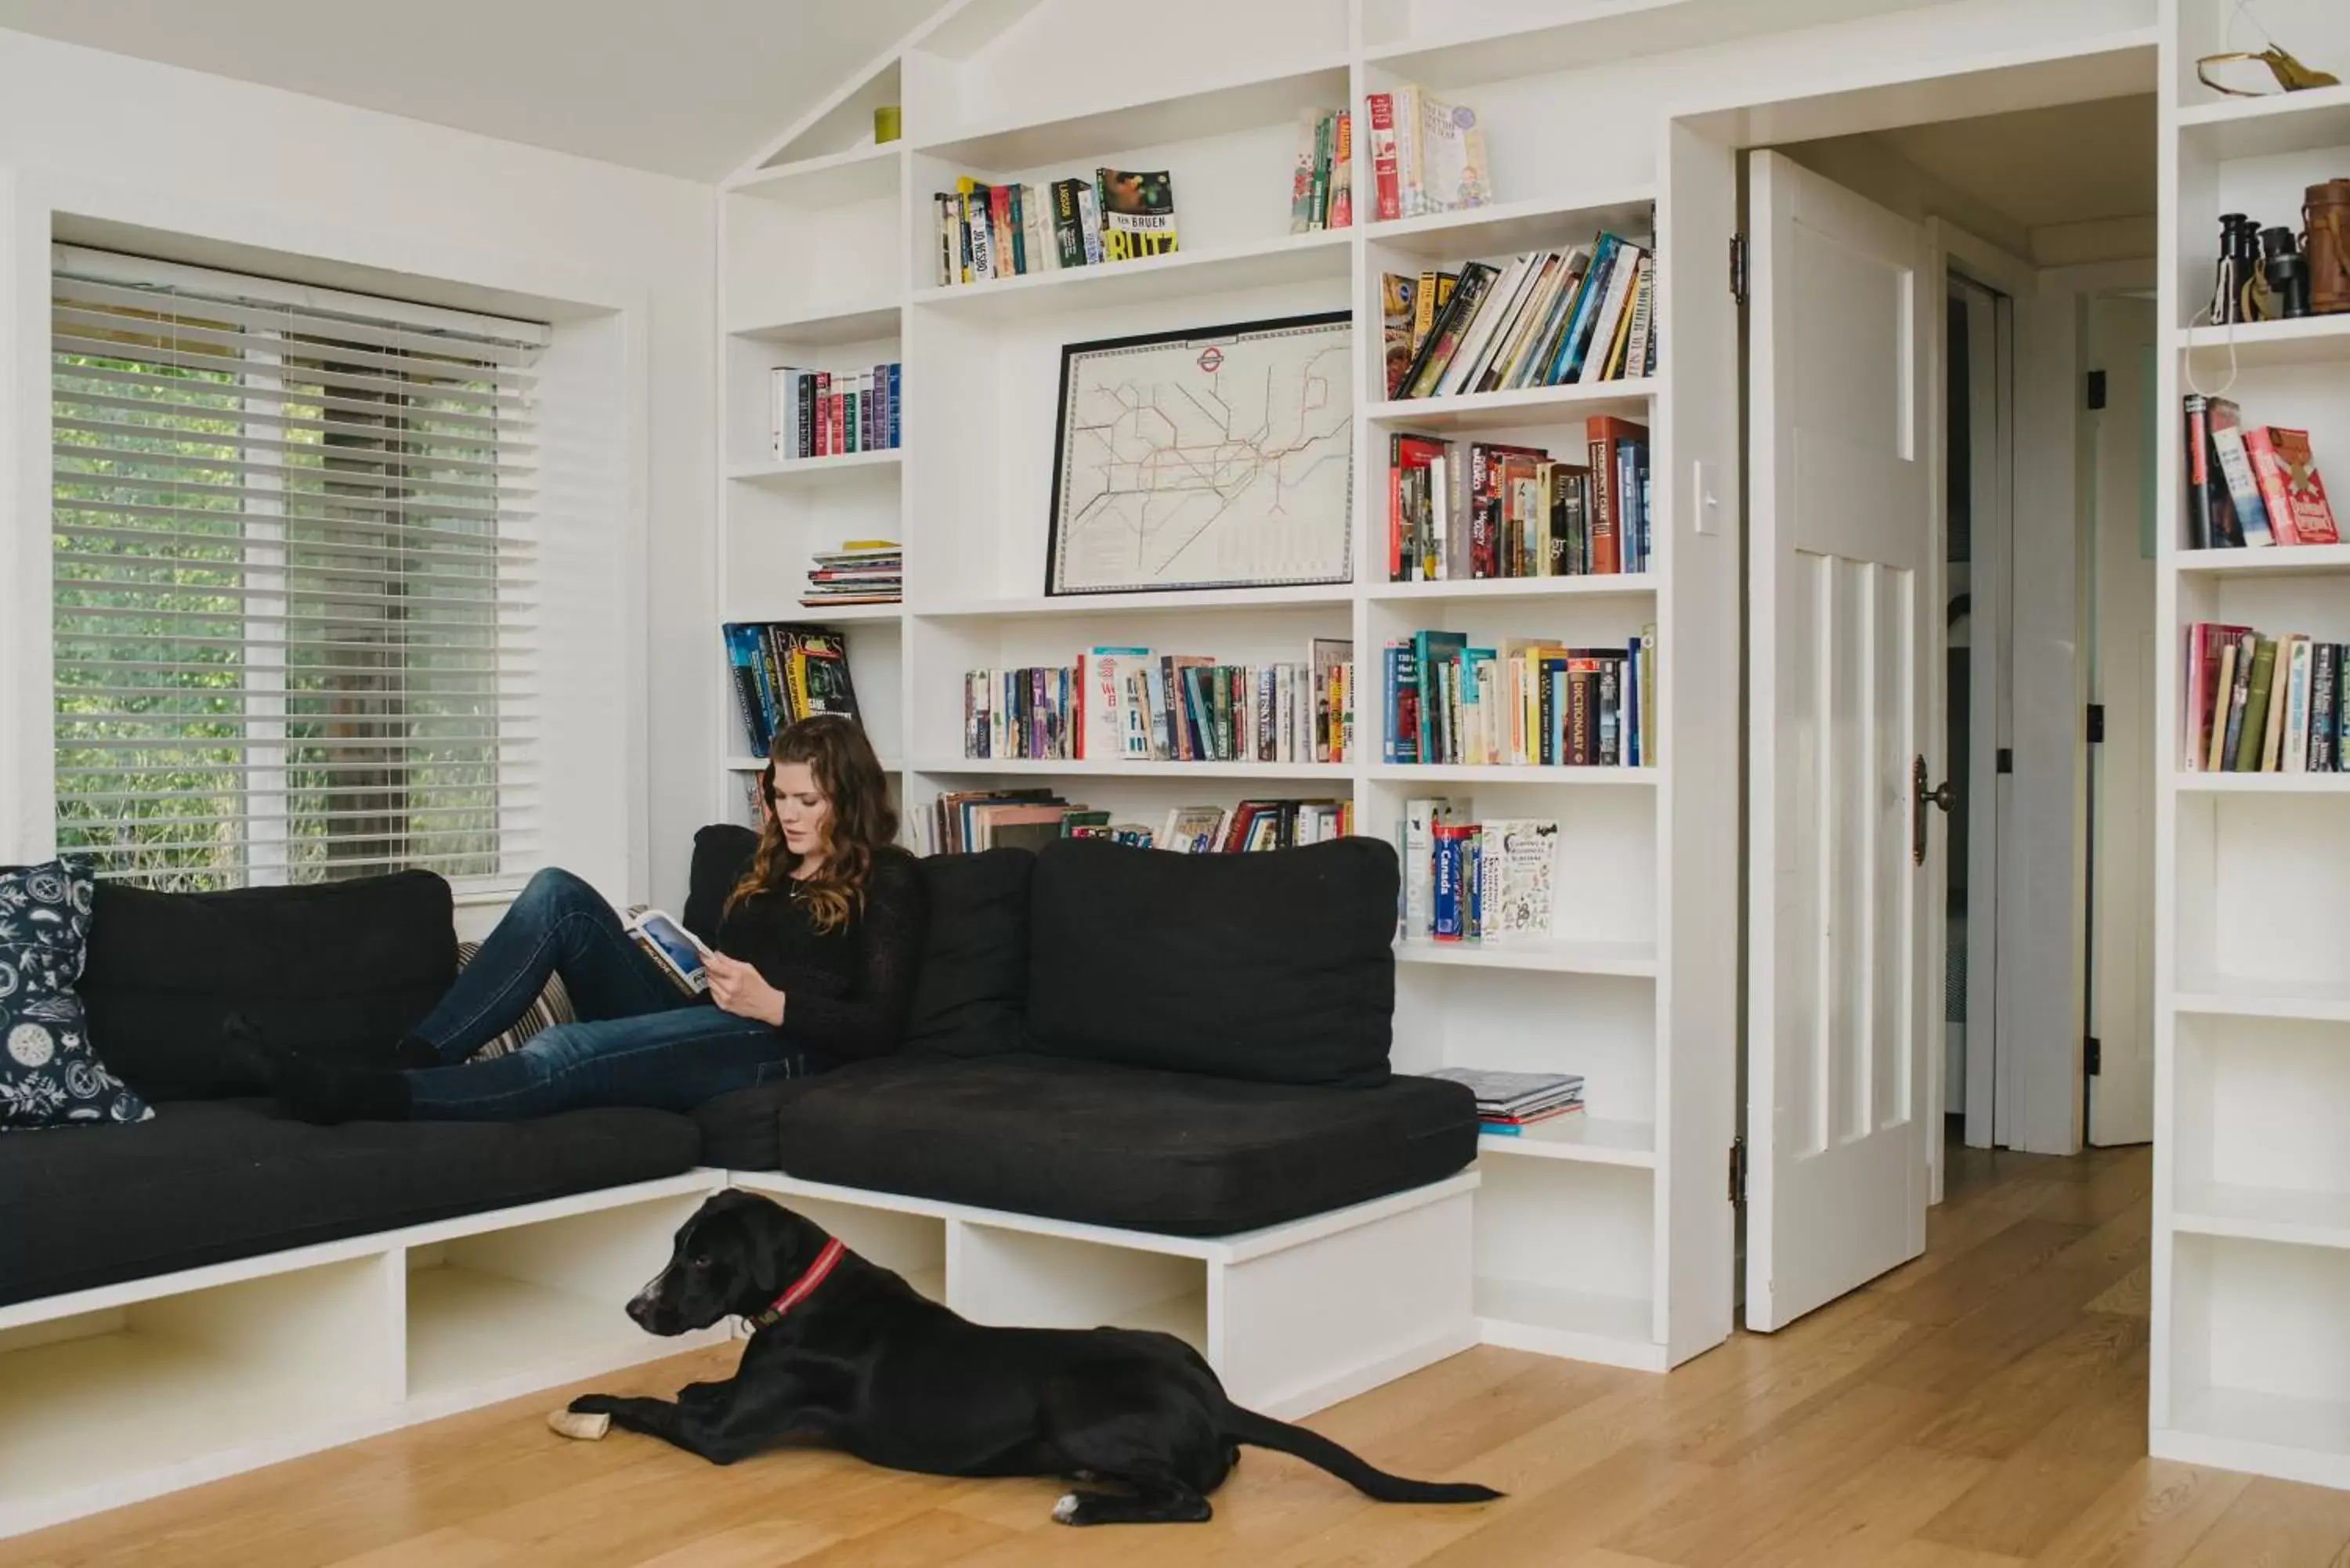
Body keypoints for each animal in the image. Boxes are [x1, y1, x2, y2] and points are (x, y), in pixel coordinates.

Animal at [559, 1194, 1495, 1523]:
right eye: (677, 1248)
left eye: (702, 1258)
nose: (635, 1307)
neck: (804, 1292)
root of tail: (1215, 1396)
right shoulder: (738, 1393)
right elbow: (696, 1388)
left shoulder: (724, 1437)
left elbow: (653, 1407)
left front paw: (591, 1405)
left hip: (1071, 1403)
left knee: (1192, 1501)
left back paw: (1084, 1505)